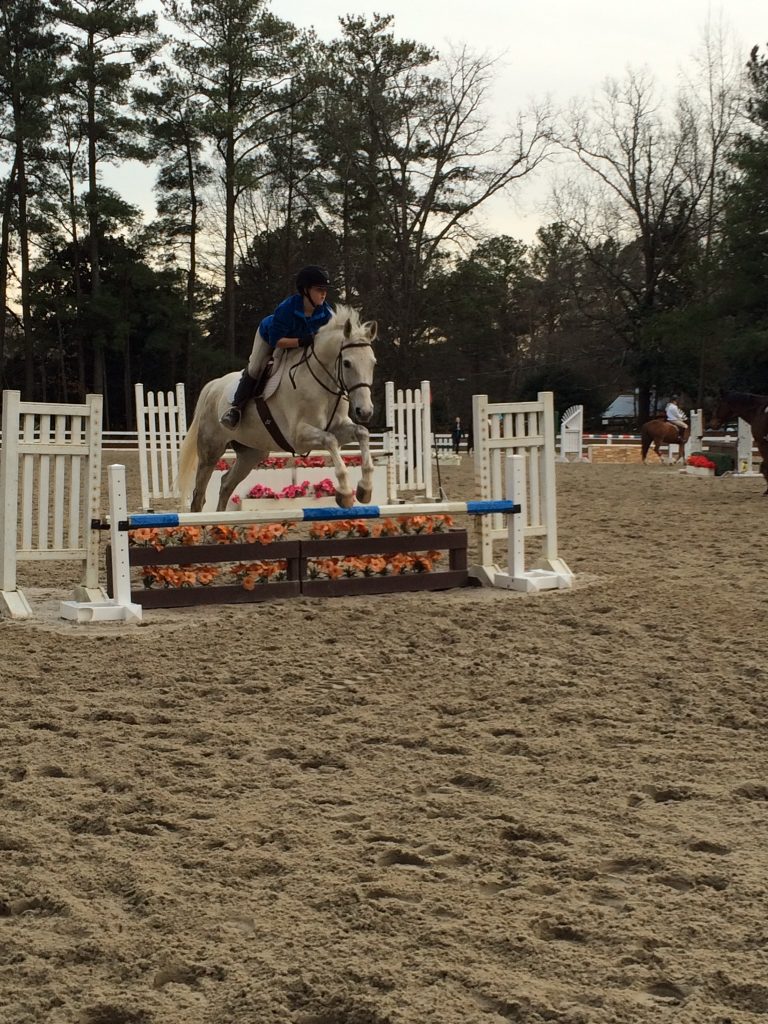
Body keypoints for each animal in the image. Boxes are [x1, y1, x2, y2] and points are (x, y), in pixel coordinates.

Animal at [175, 303, 378, 512]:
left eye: (373, 363)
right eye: (347, 363)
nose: (365, 411)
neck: (324, 383)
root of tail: (214, 385)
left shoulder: (339, 427)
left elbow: (361, 432)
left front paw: (365, 489)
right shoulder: (298, 437)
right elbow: (330, 440)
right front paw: (345, 493)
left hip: (251, 453)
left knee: (226, 484)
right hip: (211, 450)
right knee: (199, 495)